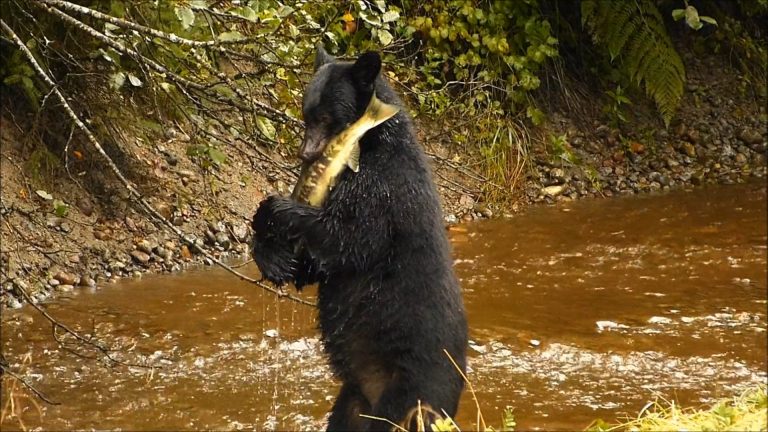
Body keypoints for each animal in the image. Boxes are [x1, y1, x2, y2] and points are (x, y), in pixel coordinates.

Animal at [251, 47, 468, 431]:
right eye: (306, 115)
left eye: (326, 117)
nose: (306, 155)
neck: (369, 142)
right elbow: (316, 267)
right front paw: (274, 258)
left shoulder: (385, 188)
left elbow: (349, 239)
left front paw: (278, 207)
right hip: (353, 399)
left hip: (412, 392)